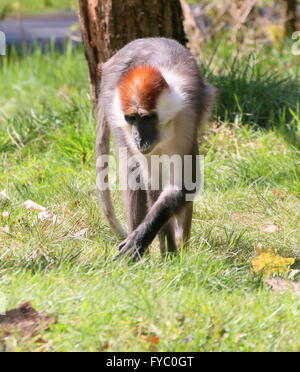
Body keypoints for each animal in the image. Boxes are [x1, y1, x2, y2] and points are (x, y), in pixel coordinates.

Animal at [95, 37, 214, 258]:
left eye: (145, 118)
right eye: (132, 118)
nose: (138, 138)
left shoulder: (185, 119)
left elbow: (186, 184)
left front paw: (144, 239)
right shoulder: (123, 122)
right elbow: (152, 184)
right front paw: (163, 250)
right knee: (132, 169)